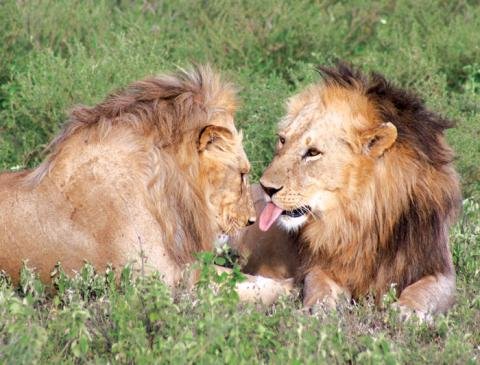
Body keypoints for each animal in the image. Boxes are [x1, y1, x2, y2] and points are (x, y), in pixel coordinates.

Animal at [0, 65, 290, 304]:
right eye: (242, 174)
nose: (251, 220)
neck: (162, 190)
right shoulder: (158, 282)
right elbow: (245, 287)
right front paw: (291, 289)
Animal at [248, 64, 462, 318]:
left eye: (313, 152)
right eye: (282, 140)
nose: (266, 187)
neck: (360, 217)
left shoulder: (439, 268)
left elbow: (423, 290)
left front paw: (406, 311)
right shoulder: (322, 264)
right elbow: (318, 284)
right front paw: (317, 308)